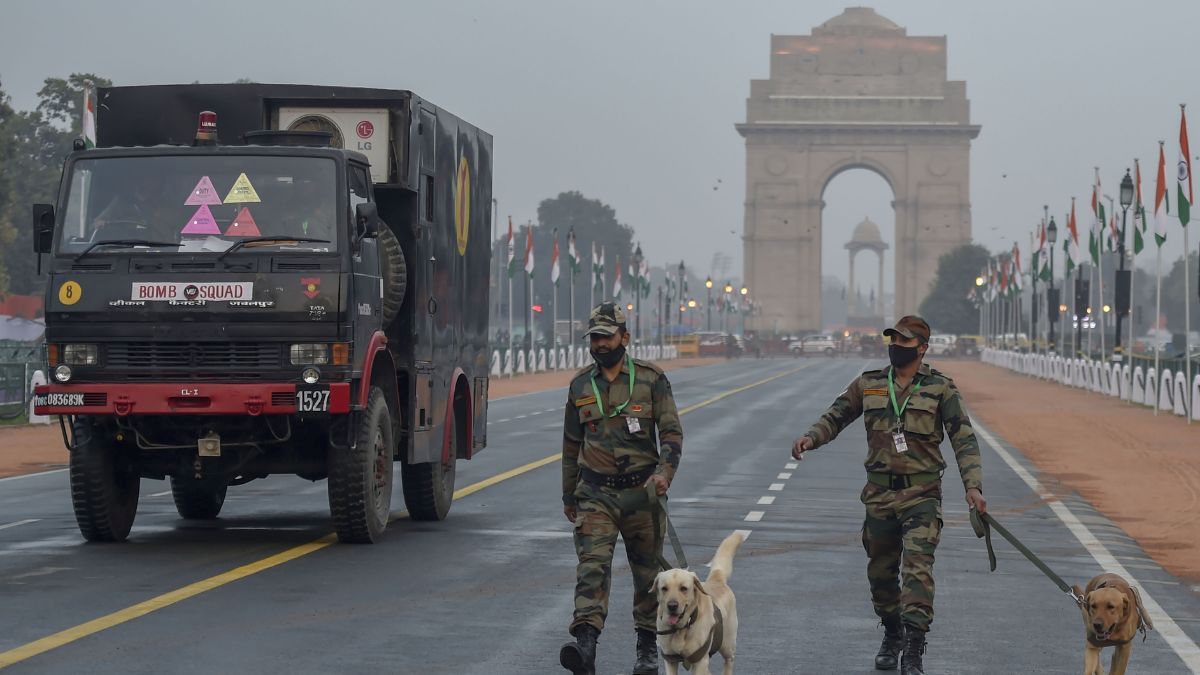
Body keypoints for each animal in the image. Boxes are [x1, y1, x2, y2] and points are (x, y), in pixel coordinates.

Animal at [654, 531, 744, 675]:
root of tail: (717, 579)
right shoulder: (670, 660)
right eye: (664, 588)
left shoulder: (700, 661)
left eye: (683, 588)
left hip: (727, 644)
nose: (672, 606)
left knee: (729, 660)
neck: (681, 628)